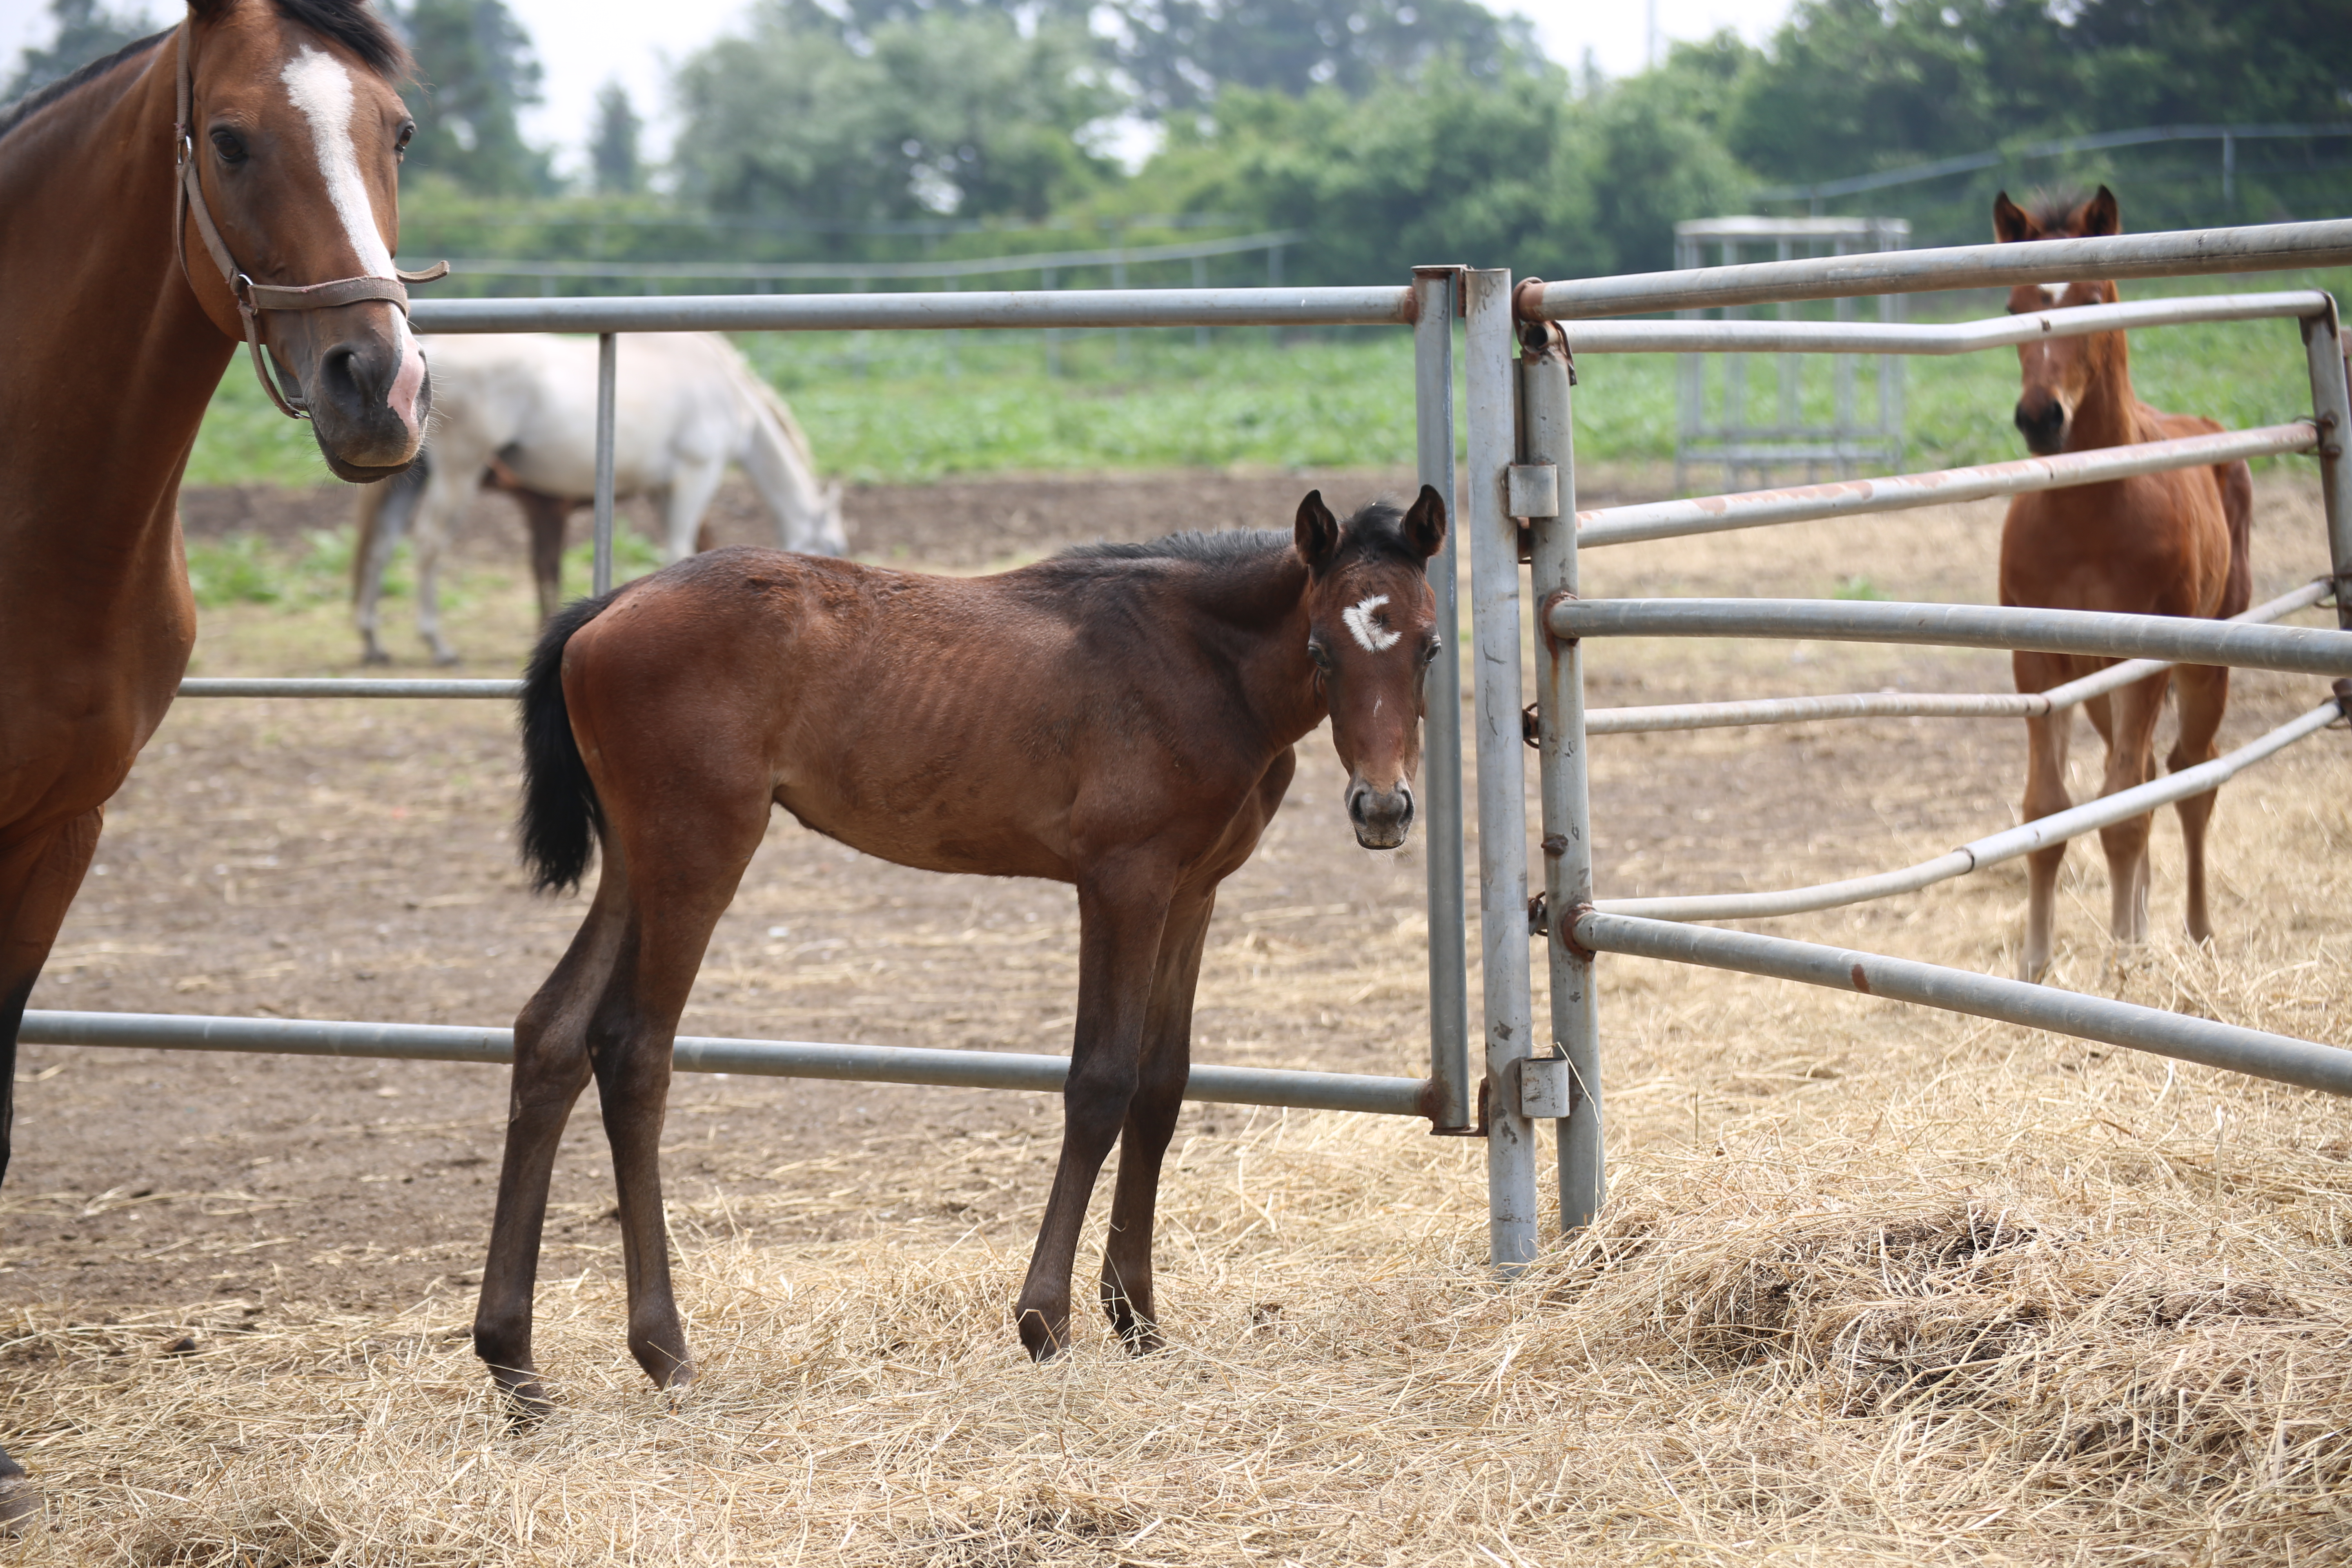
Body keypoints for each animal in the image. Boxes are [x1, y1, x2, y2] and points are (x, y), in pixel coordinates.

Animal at [348, 334, 846, 668]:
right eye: (836, 548)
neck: (727, 389)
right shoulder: (695, 477)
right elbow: (680, 548)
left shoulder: (662, 490)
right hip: (459, 471)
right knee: (429, 543)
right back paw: (438, 643)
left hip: (413, 479)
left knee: (381, 547)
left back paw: (373, 641)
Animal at [472, 491, 1449, 1410]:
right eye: (1321, 648)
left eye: (1431, 648)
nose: (1383, 808)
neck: (1198, 658)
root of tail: (606, 607)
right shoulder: (1123, 883)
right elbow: (1101, 1082)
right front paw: (1047, 1323)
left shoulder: (1193, 891)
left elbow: (1163, 1088)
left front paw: (1137, 1320)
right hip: (697, 851)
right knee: (634, 1049)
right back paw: (665, 1354)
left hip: (637, 862)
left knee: (550, 1035)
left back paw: (516, 1366)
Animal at [1994, 190, 2248, 982]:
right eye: (2013, 306)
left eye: (2096, 299)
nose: (2040, 418)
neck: (2087, 509)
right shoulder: (2039, 664)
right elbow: (2050, 811)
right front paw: (2036, 965)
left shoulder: (2145, 660)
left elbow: (2127, 811)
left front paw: (2122, 969)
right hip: (2101, 685)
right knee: (2141, 780)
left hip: (2201, 664)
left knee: (2190, 777)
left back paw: (2195, 934)